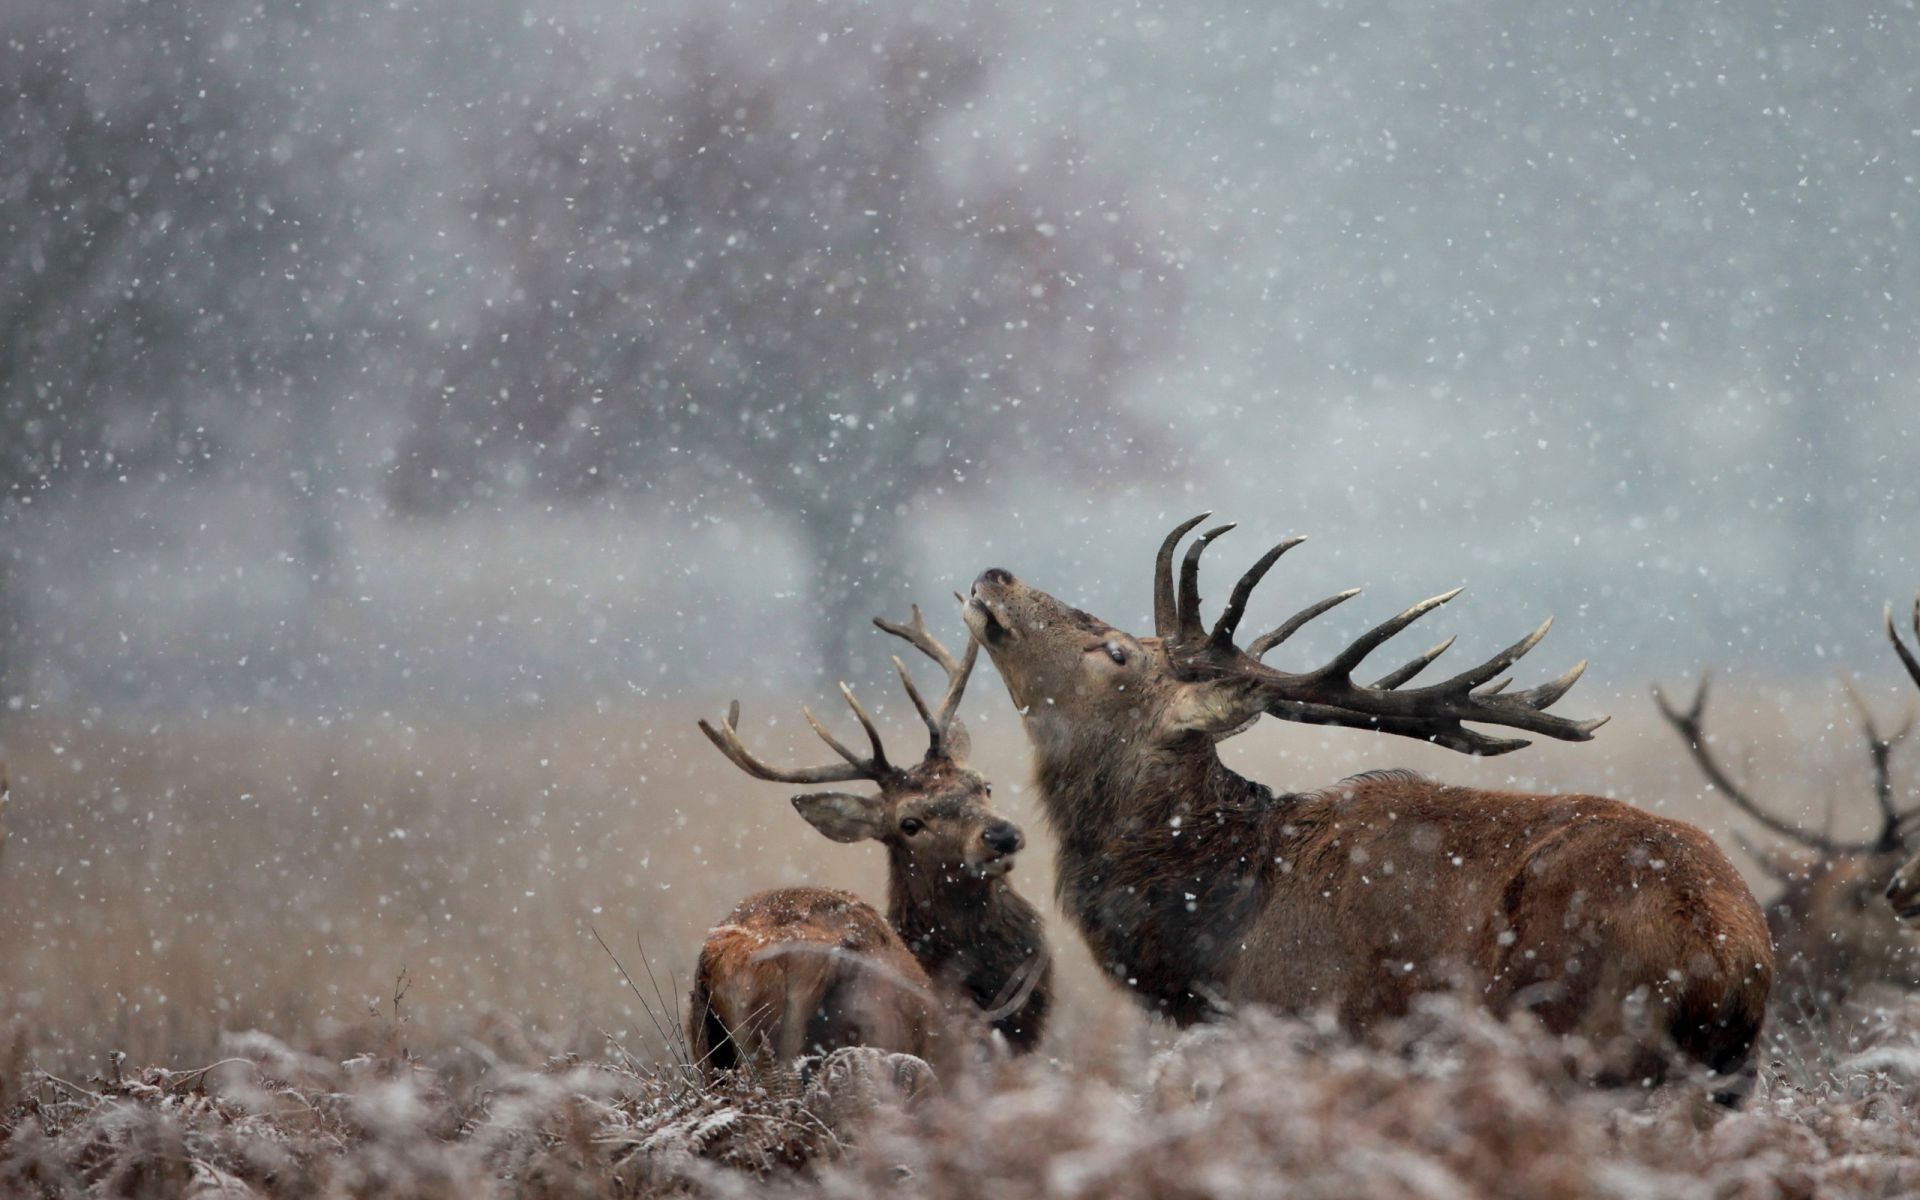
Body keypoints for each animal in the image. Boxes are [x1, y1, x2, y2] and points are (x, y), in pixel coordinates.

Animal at [967, 514, 1774, 1098]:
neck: (1216, 943)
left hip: (1577, 1040)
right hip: (1727, 1078)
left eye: (1114, 652)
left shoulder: (1313, 1027)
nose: (994, 574)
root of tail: (1726, 952)